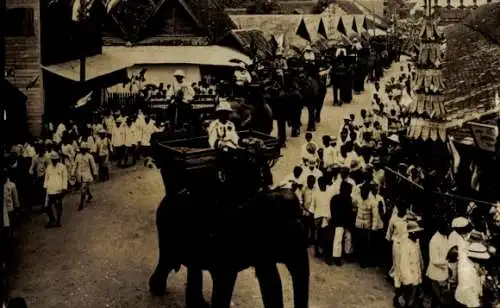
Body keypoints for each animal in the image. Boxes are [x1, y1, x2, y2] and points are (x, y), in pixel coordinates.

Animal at [148, 140, 310, 308]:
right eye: (289, 236)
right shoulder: (226, 240)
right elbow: (225, 282)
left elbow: (271, 282)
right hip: (167, 226)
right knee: (168, 257)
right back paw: (157, 290)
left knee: (191, 266)